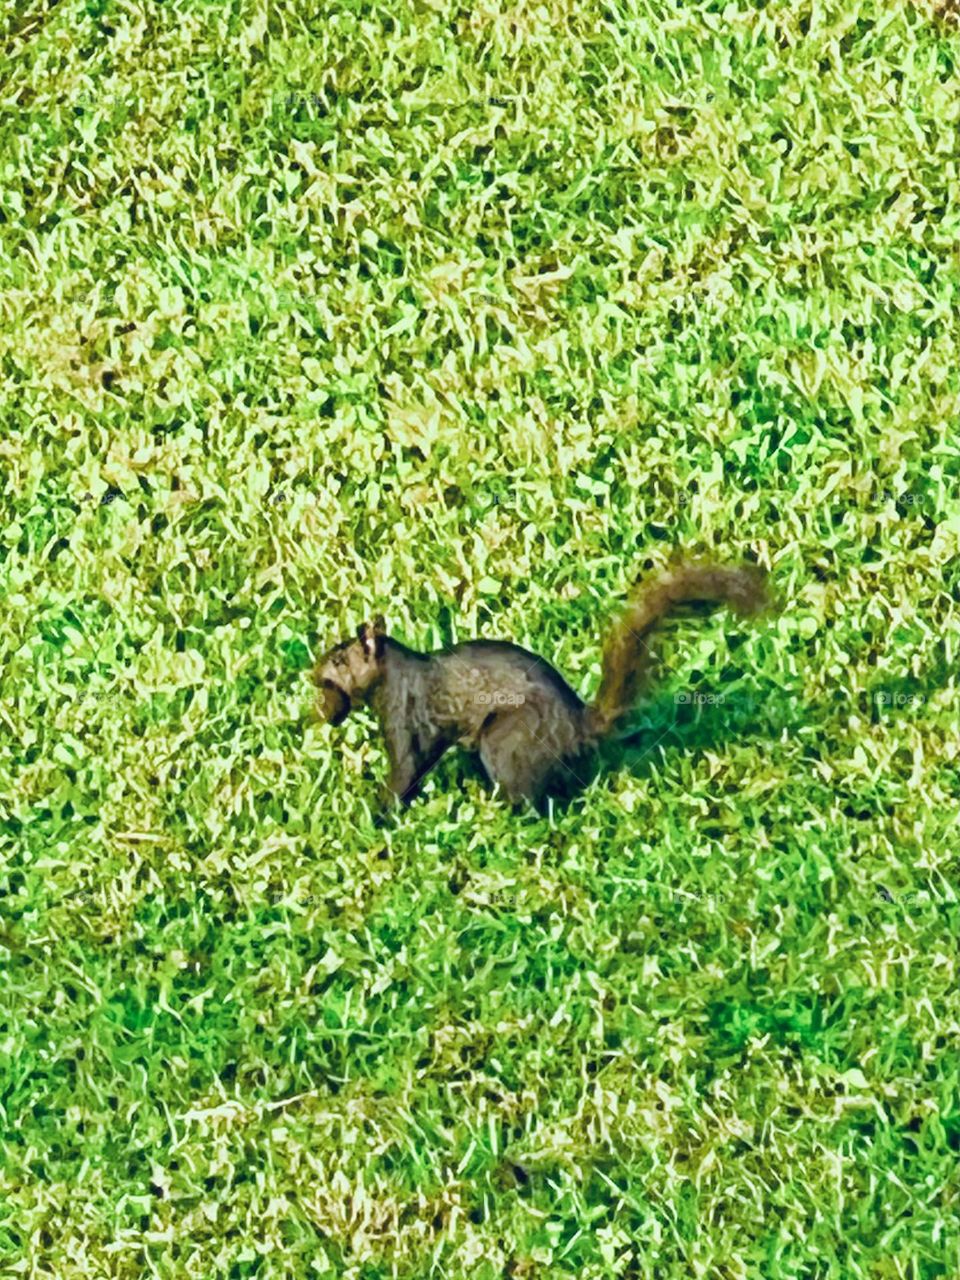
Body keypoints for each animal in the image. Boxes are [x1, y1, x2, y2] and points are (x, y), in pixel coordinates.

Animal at [312, 561, 774, 809]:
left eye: (340, 659)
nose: (315, 673)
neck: (394, 673)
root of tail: (579, 727)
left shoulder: (408, 712)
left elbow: (408, 767)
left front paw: (381, 812)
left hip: (507, 739)